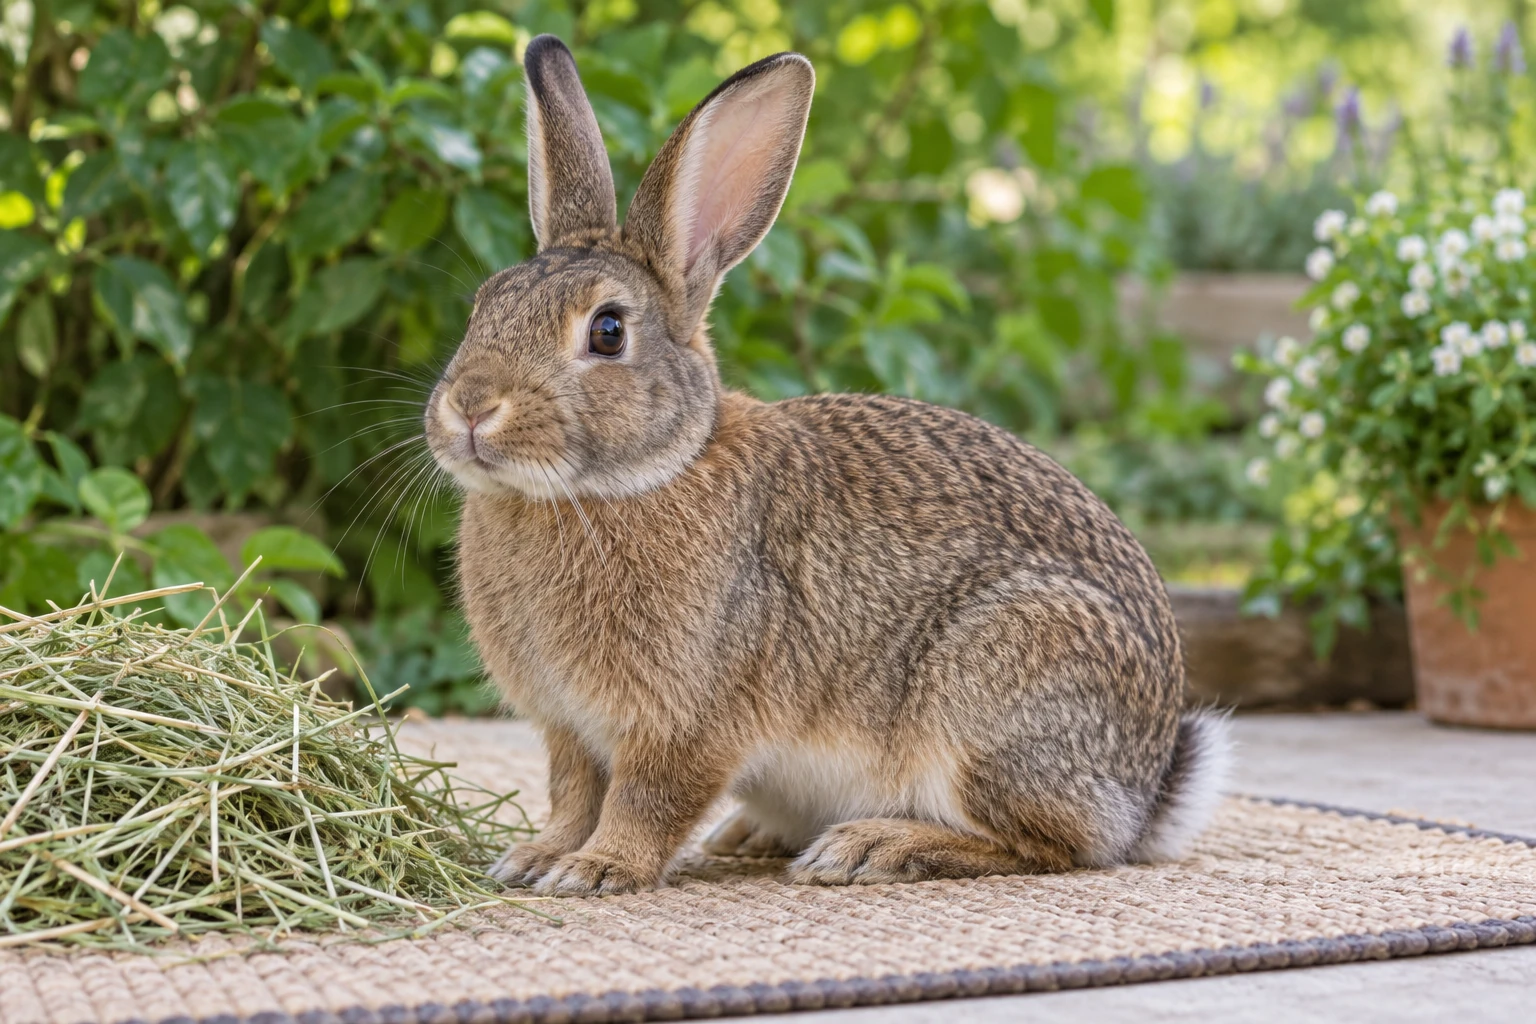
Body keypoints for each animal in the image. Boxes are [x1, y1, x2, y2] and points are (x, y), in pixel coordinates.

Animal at [423, 35, 1232, 896]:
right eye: (484, 303)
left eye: (607, 331)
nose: (470, 408)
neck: (635, 477)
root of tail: (1146, 789)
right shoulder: (568, 729)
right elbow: (572, 793)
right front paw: (535, 857)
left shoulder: (688, 722)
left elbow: (648, 801)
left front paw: (597, 869)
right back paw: (753, 835)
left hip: (996, 688)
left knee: (1054, 845)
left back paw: (872, 847)